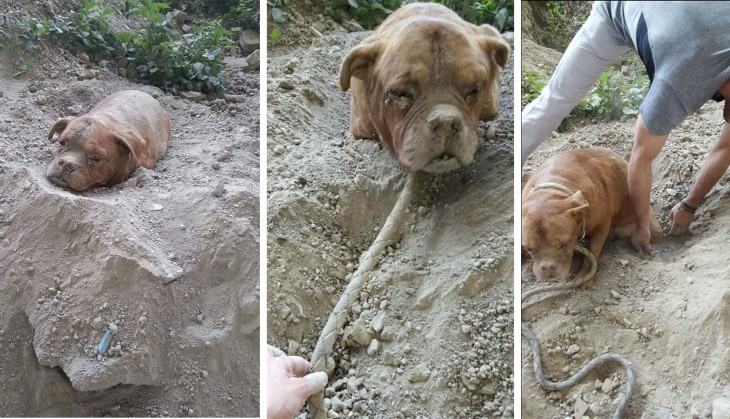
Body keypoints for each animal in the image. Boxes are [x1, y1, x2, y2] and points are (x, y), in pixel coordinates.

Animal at [520, 148, 664, 282]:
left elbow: (592, 254)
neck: (553, 190)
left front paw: (584, 278)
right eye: (529, 249)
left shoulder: (601, 227)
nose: (548, 267)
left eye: (564, 245)